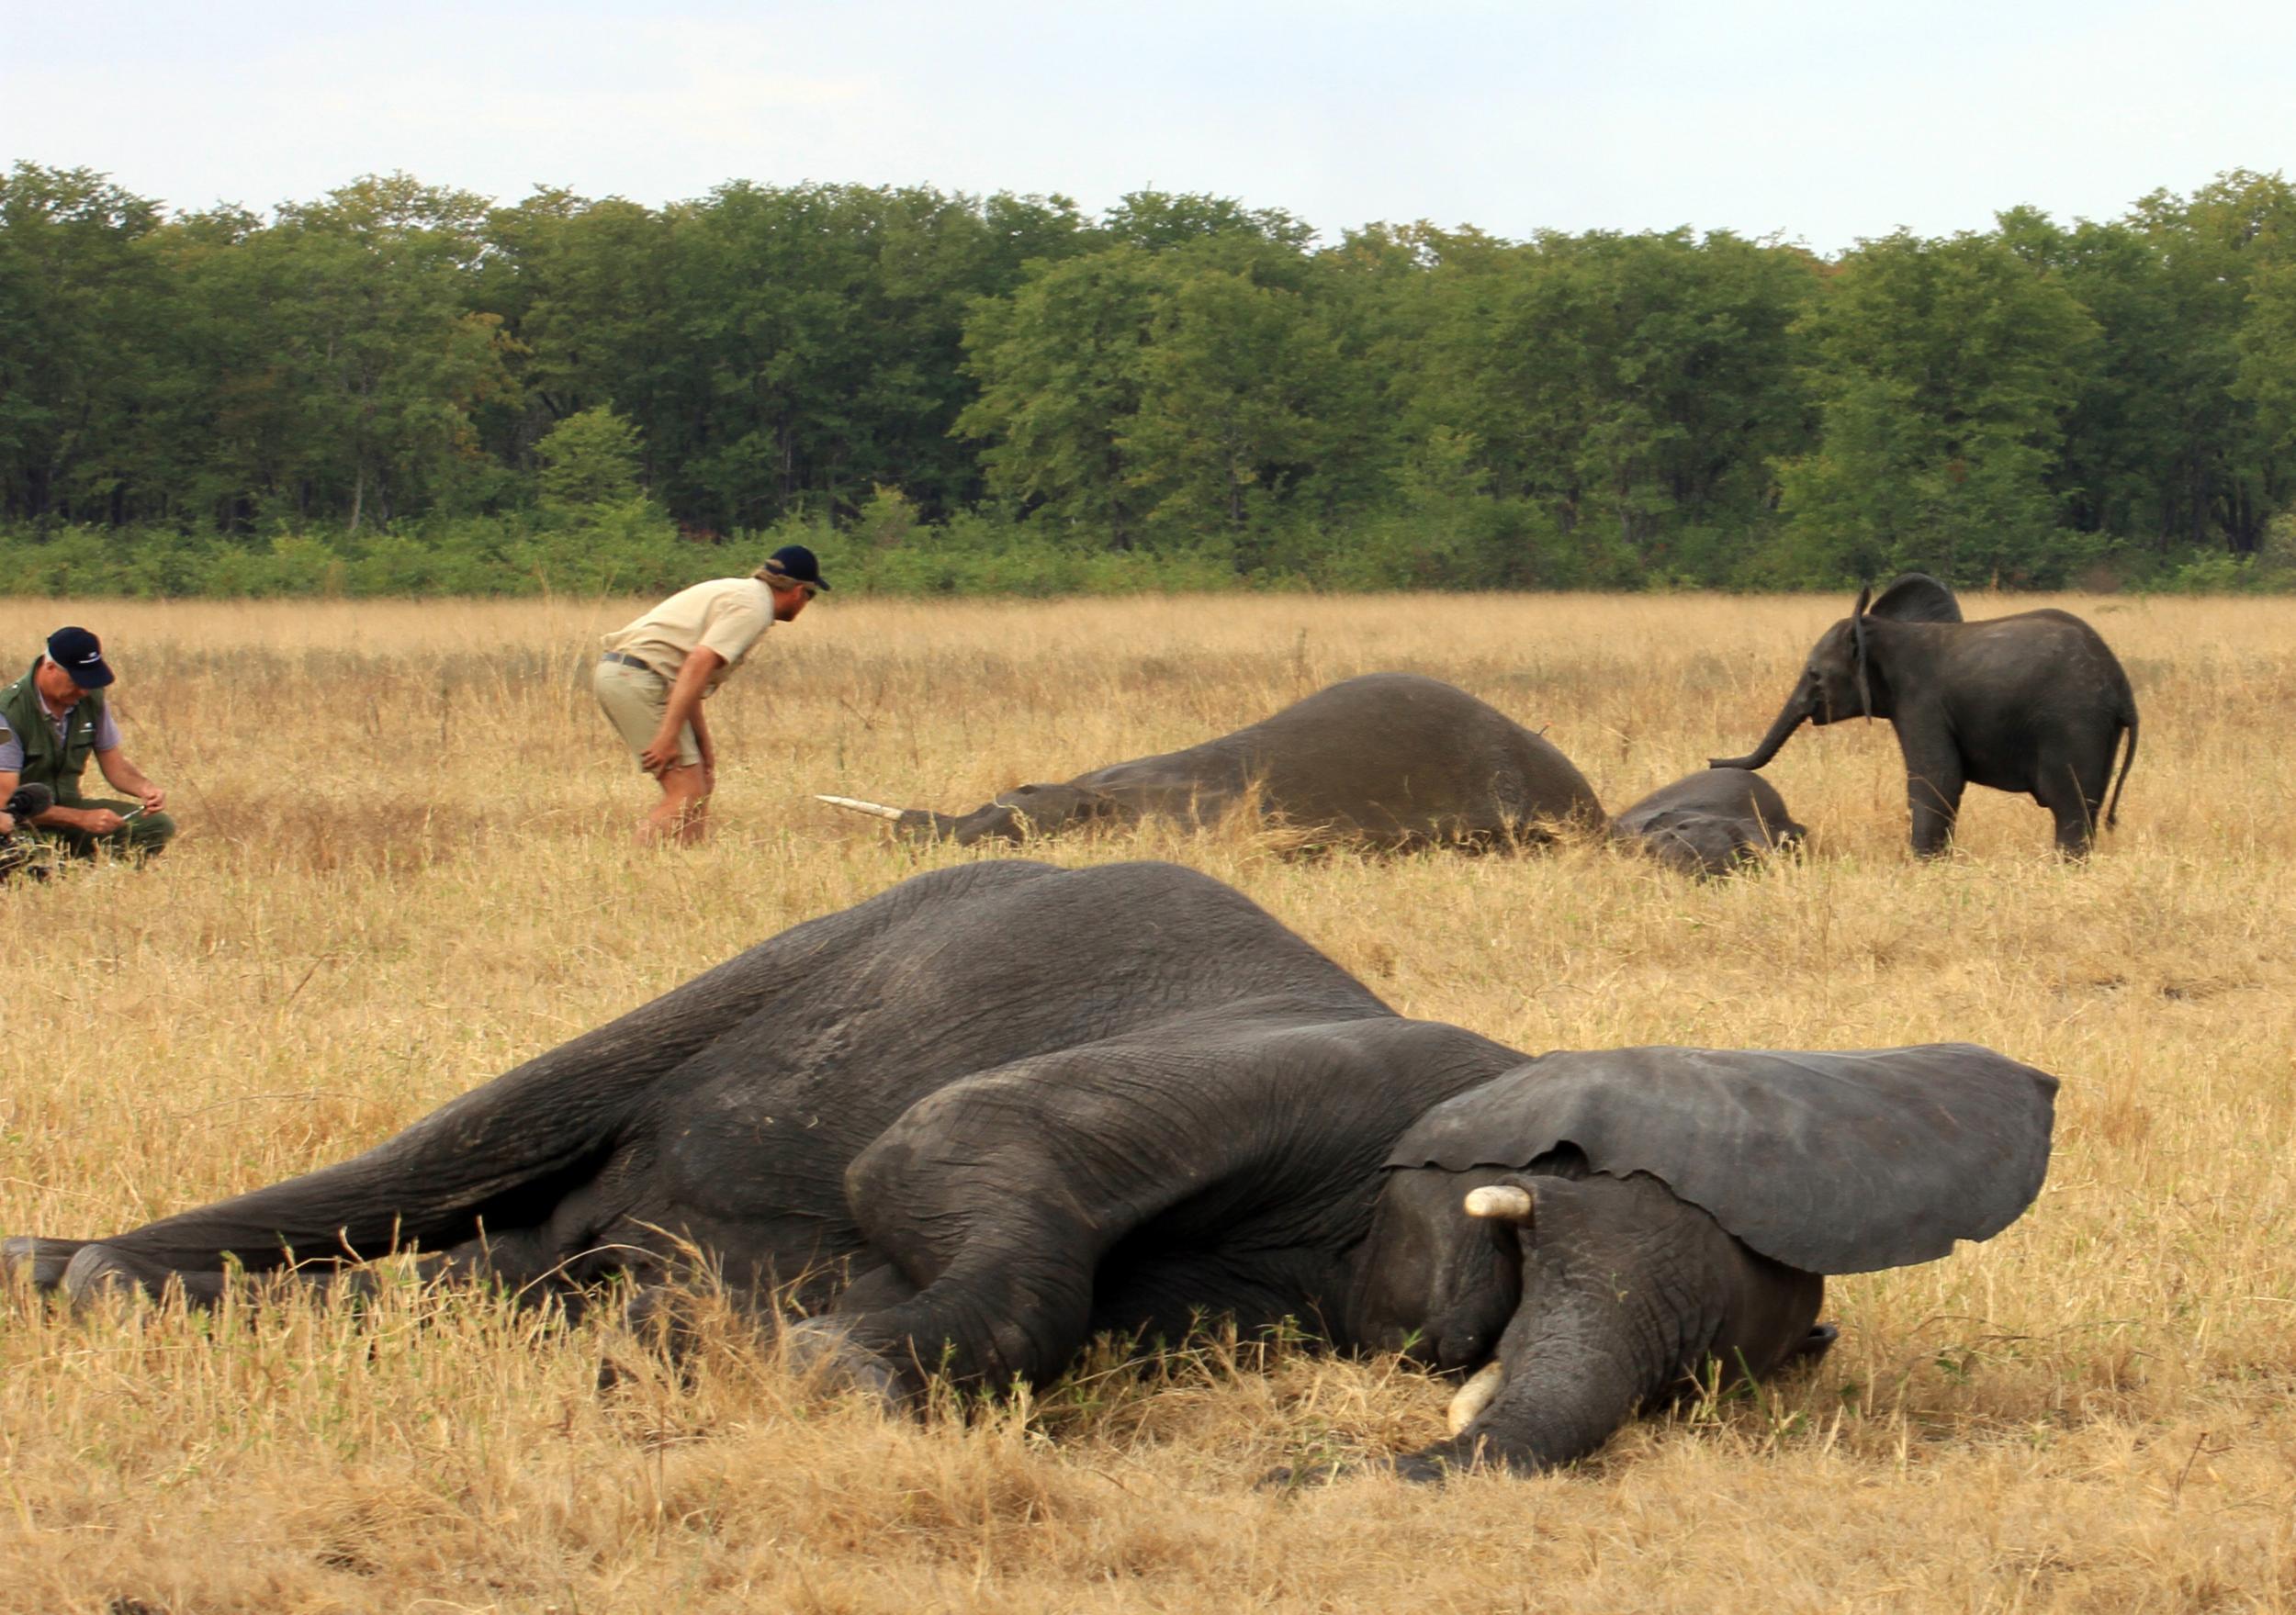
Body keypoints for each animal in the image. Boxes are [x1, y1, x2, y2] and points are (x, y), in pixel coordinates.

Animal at [8, 862, 2057, 1486]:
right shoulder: (1326, 1070)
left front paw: (740, 1348)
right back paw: (78, 1271)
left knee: (507, 1259)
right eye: (1542, 1197)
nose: (1383, 1467)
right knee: (463, 1140)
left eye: (1726, 1366)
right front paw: (836, 1370)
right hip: (769, 965)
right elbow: (947, 1156)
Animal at [1717, 578, 2140, 858]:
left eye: (1815, 675)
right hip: (2098, 728)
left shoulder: (1922, 702)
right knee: (2088, 805)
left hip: (2073, 721)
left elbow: (1937, 780)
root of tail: (2122, 687)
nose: (1713, 761)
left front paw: (1922, 864)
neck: (1883, 634)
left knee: (2069, 805)